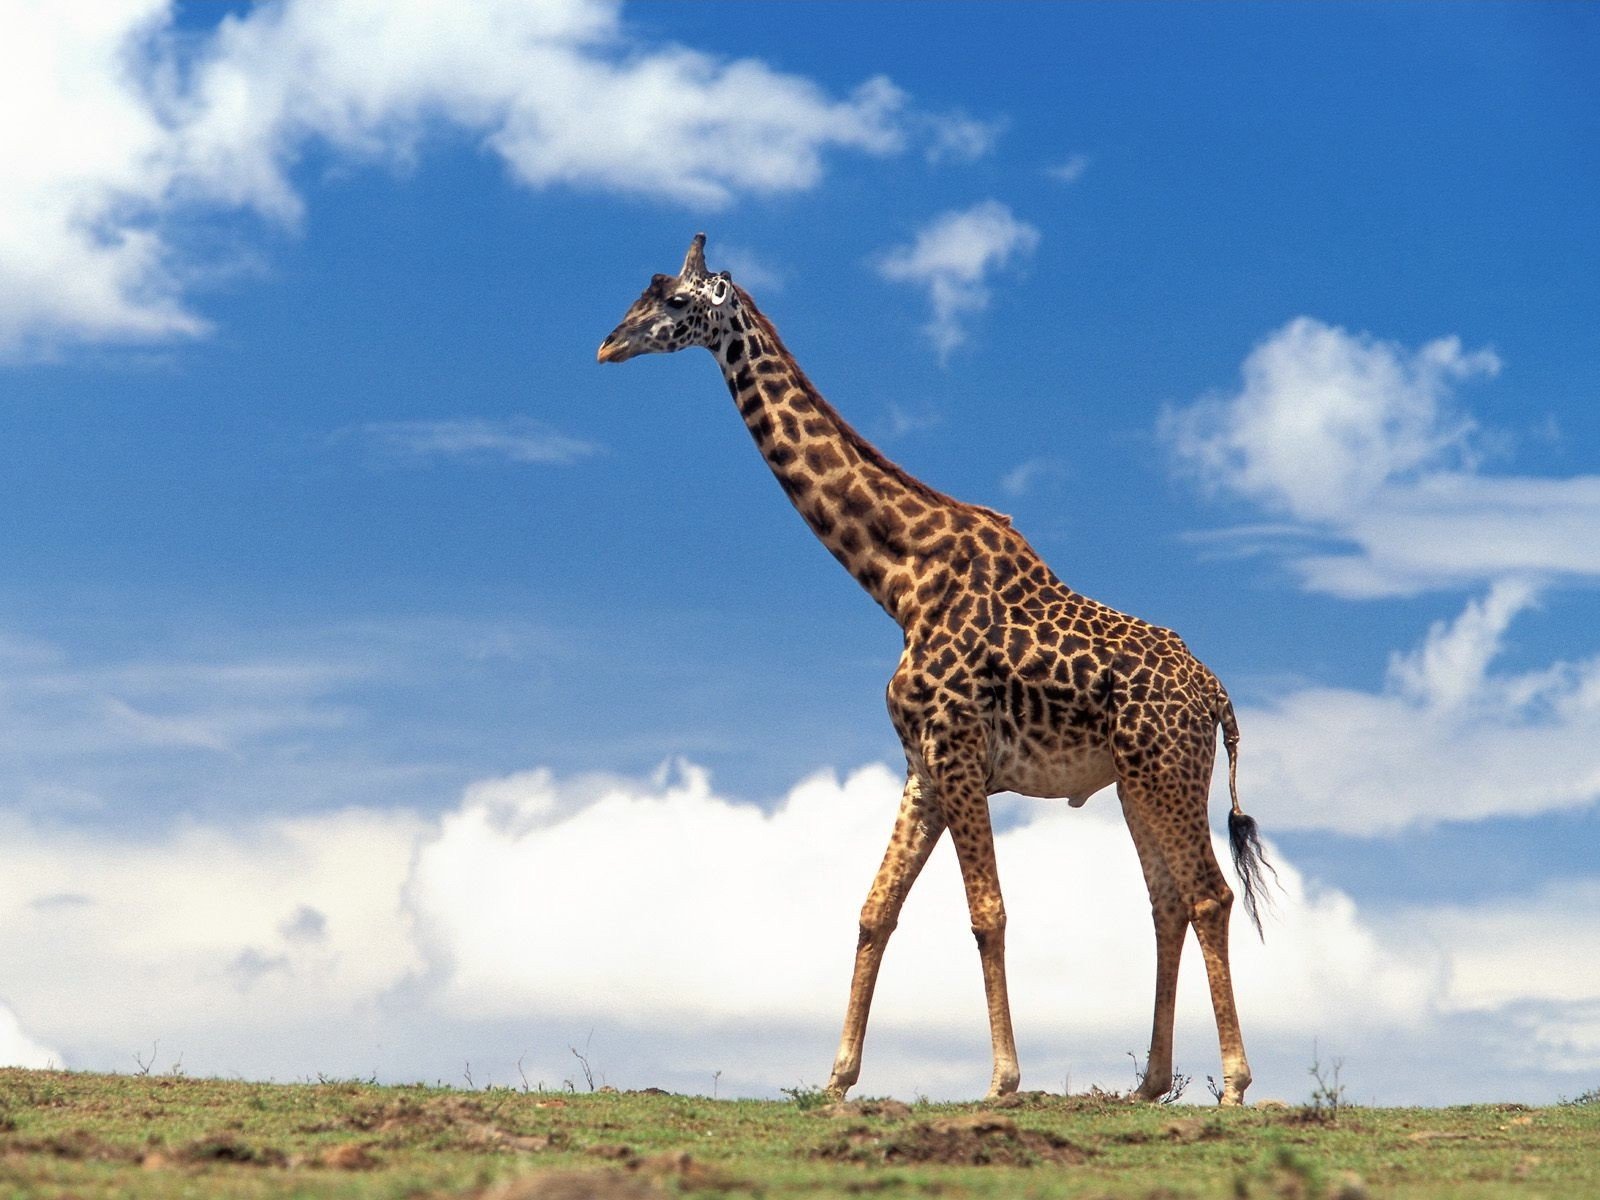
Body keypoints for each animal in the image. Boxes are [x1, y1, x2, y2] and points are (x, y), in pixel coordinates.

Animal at [598, 232, 1273, 1107]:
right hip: (1138, 781)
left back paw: (1233, 1083)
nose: (609, 344)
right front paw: (838, 1078)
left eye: (675, 300)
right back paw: (1151, 1083)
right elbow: (874, 910)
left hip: (1166, 770)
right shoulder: (922, 763)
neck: (897, 580)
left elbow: (987, 911)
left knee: (1208, 894)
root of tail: (1219, 696)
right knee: (1166, 903)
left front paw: (1003, 1079)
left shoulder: (957, 749)